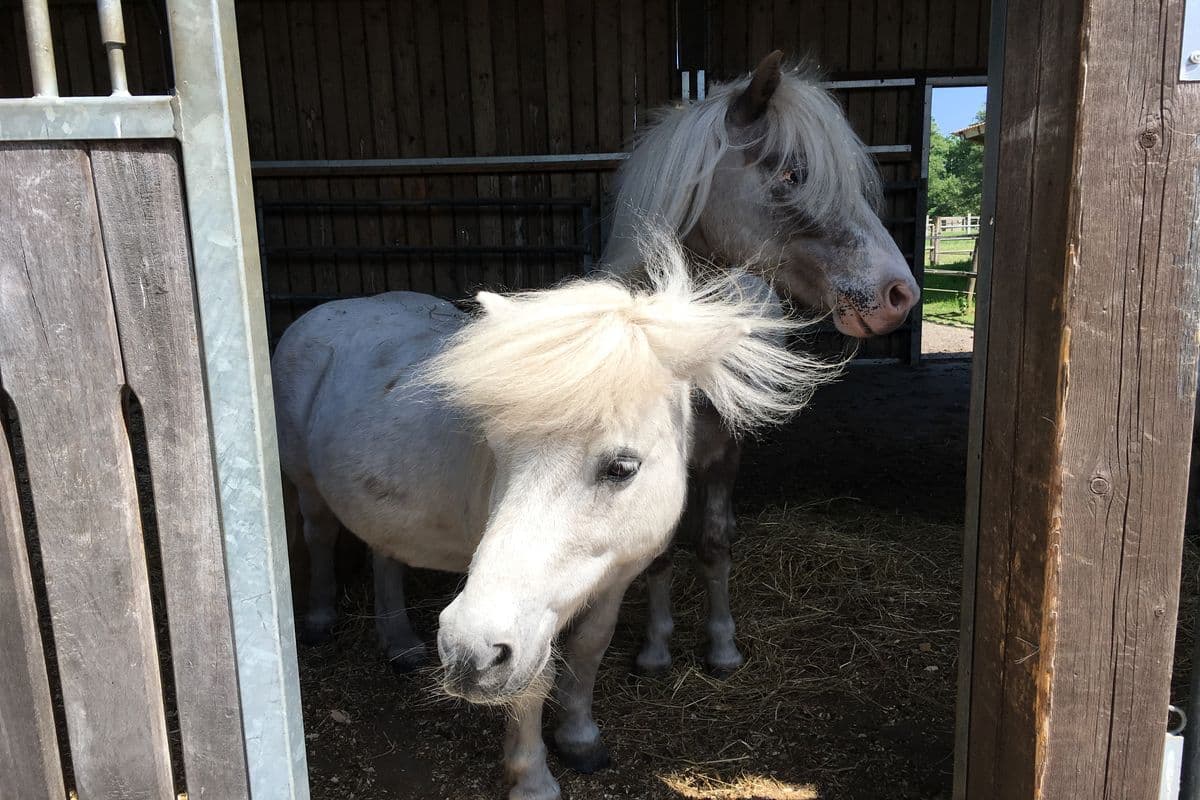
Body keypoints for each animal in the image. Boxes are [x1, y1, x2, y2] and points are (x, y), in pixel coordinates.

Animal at [272, 237, 835, 800]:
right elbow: (534, 682)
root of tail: (321, 315)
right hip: (306, 486)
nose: (466, 653)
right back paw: (319, 619)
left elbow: (589, 648)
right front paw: (532, 778)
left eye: (621, 467)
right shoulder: (530, 621)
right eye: (497, 449)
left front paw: (579, 738)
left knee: (384, 553)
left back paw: (401, 644)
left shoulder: (613, 577)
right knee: (319, 534)